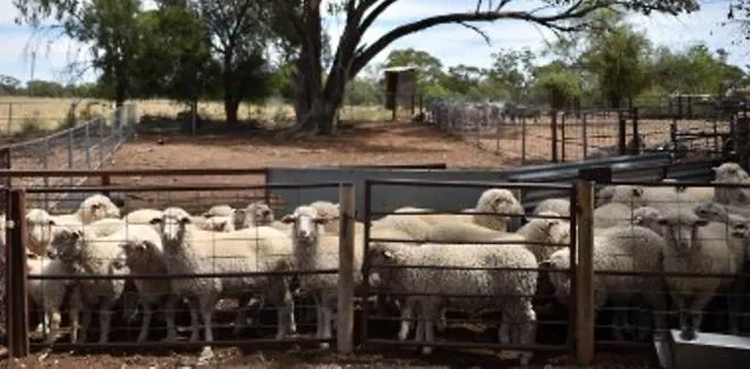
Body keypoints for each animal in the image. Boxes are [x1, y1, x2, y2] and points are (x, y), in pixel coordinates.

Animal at [370, 239, 540, 366]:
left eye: (377, 257)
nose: (370, 280)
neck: (410, 263)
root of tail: (530, 258)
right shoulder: (423, 300)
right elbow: (421, 322)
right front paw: (418, 342)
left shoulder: (430, 299)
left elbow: (428, 323)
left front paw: (427, 347)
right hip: (512, 299)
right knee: (518, 322)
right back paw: (518, 349)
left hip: (520, 296)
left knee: (529, 322)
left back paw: (526, 356)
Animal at [540, 223, 668, 340]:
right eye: (554, 267)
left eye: (571, 269)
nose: (566, 287)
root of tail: (659, 239)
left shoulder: (597, 295)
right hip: (636, 287)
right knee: (642, 308)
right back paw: (641, 333)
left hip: (652, 282)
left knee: (659, 306)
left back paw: (660, 333)